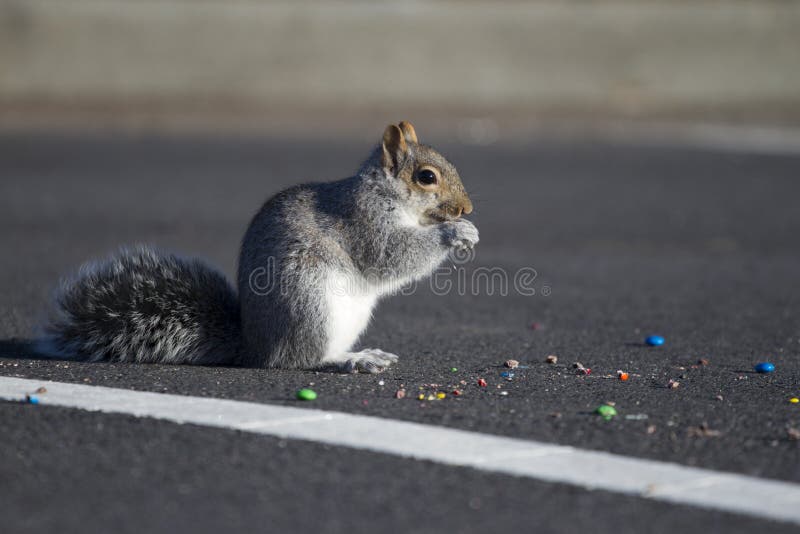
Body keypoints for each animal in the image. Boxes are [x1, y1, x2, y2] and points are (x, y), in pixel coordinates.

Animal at [37, 121, 479, 373]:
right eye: (426, 177)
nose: (468, 208)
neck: (386, 195)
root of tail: (255, 347)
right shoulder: (364, 224)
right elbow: (390, 257)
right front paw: (456, 233)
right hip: (309, 304)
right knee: (300, 360)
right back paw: (350, 361)